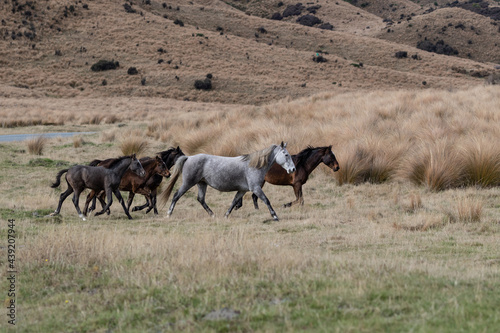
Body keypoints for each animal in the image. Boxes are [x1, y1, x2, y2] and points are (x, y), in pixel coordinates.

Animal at [160, 141, 294, 220]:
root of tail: (188, 158)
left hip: (201, 184)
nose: (293, 169)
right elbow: (266, 200)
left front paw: (226, 215)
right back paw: (168, 213)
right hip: (188, 183)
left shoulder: (242, 190)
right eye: (286, 155)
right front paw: (275, 216)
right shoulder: (256, 188)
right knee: (176, 195)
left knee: (201, 199)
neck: (254, 166)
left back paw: (212, 214)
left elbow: (234, 202)